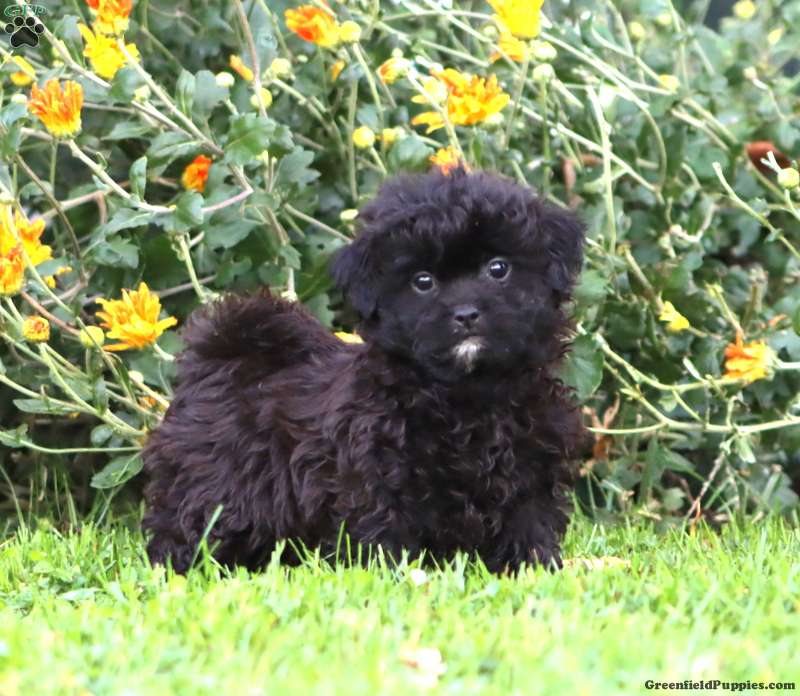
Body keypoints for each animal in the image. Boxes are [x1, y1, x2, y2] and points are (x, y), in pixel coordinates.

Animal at [142, 168, 585, 573]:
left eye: (498, 269)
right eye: (422, 281)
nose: (465, 314)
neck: (467, 395)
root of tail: (223, 351)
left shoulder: (530, 474)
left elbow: (528, 525)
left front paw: (533, 568)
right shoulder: (379, 474)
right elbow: (383, 529)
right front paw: (390, 576)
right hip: (211, 483)